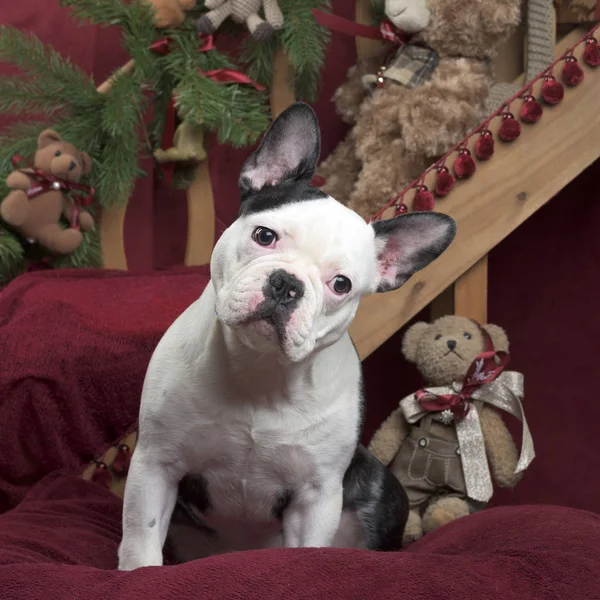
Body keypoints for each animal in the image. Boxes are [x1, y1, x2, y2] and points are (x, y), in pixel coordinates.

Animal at [116, 102, 454, 568]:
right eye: (264, 236)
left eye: (341, 284)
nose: (287, 284)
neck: (261, 368)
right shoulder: (156, 463)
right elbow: (141, 540)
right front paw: (137, 572)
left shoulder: (316, 494)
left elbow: (308, 548)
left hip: (381, 490)